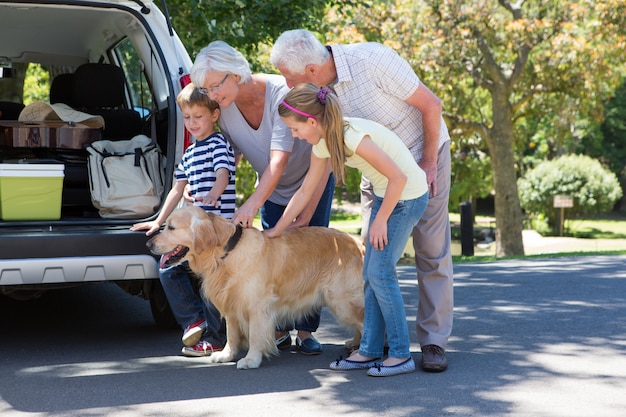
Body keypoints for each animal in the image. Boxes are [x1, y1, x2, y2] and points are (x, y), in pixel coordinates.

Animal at [146, 205, 364, 368]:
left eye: (171, 227)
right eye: (165, 225)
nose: (148, 244)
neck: (226, 252)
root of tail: (357, 242)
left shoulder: (258, 306)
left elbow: (256, 335)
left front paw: (251, 359)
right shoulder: (231, 304)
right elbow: (232, 334)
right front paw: (226, 355)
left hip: (341, 300)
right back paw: (355, 343)